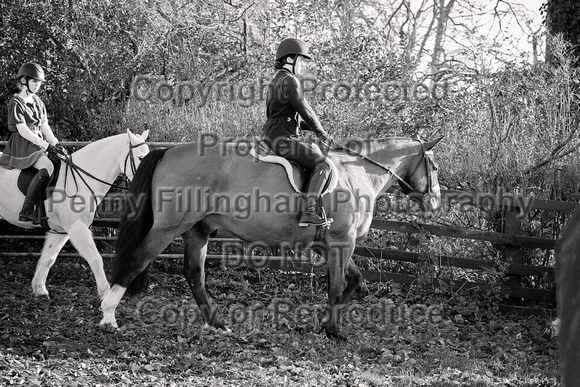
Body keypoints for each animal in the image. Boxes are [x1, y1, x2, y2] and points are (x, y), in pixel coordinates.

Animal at [99, 136, 442, 340]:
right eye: (435, 166)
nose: (435, 204)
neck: (356, 173)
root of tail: (168, 150)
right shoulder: (342, 241)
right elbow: (337, 285)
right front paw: (334, 330)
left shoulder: (330, 244)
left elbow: (353, 280)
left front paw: (322, 322)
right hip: (169, 227)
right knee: (137, 260)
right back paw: (108, 316)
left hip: (198, 230)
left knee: (194, 275)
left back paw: (217, 324)